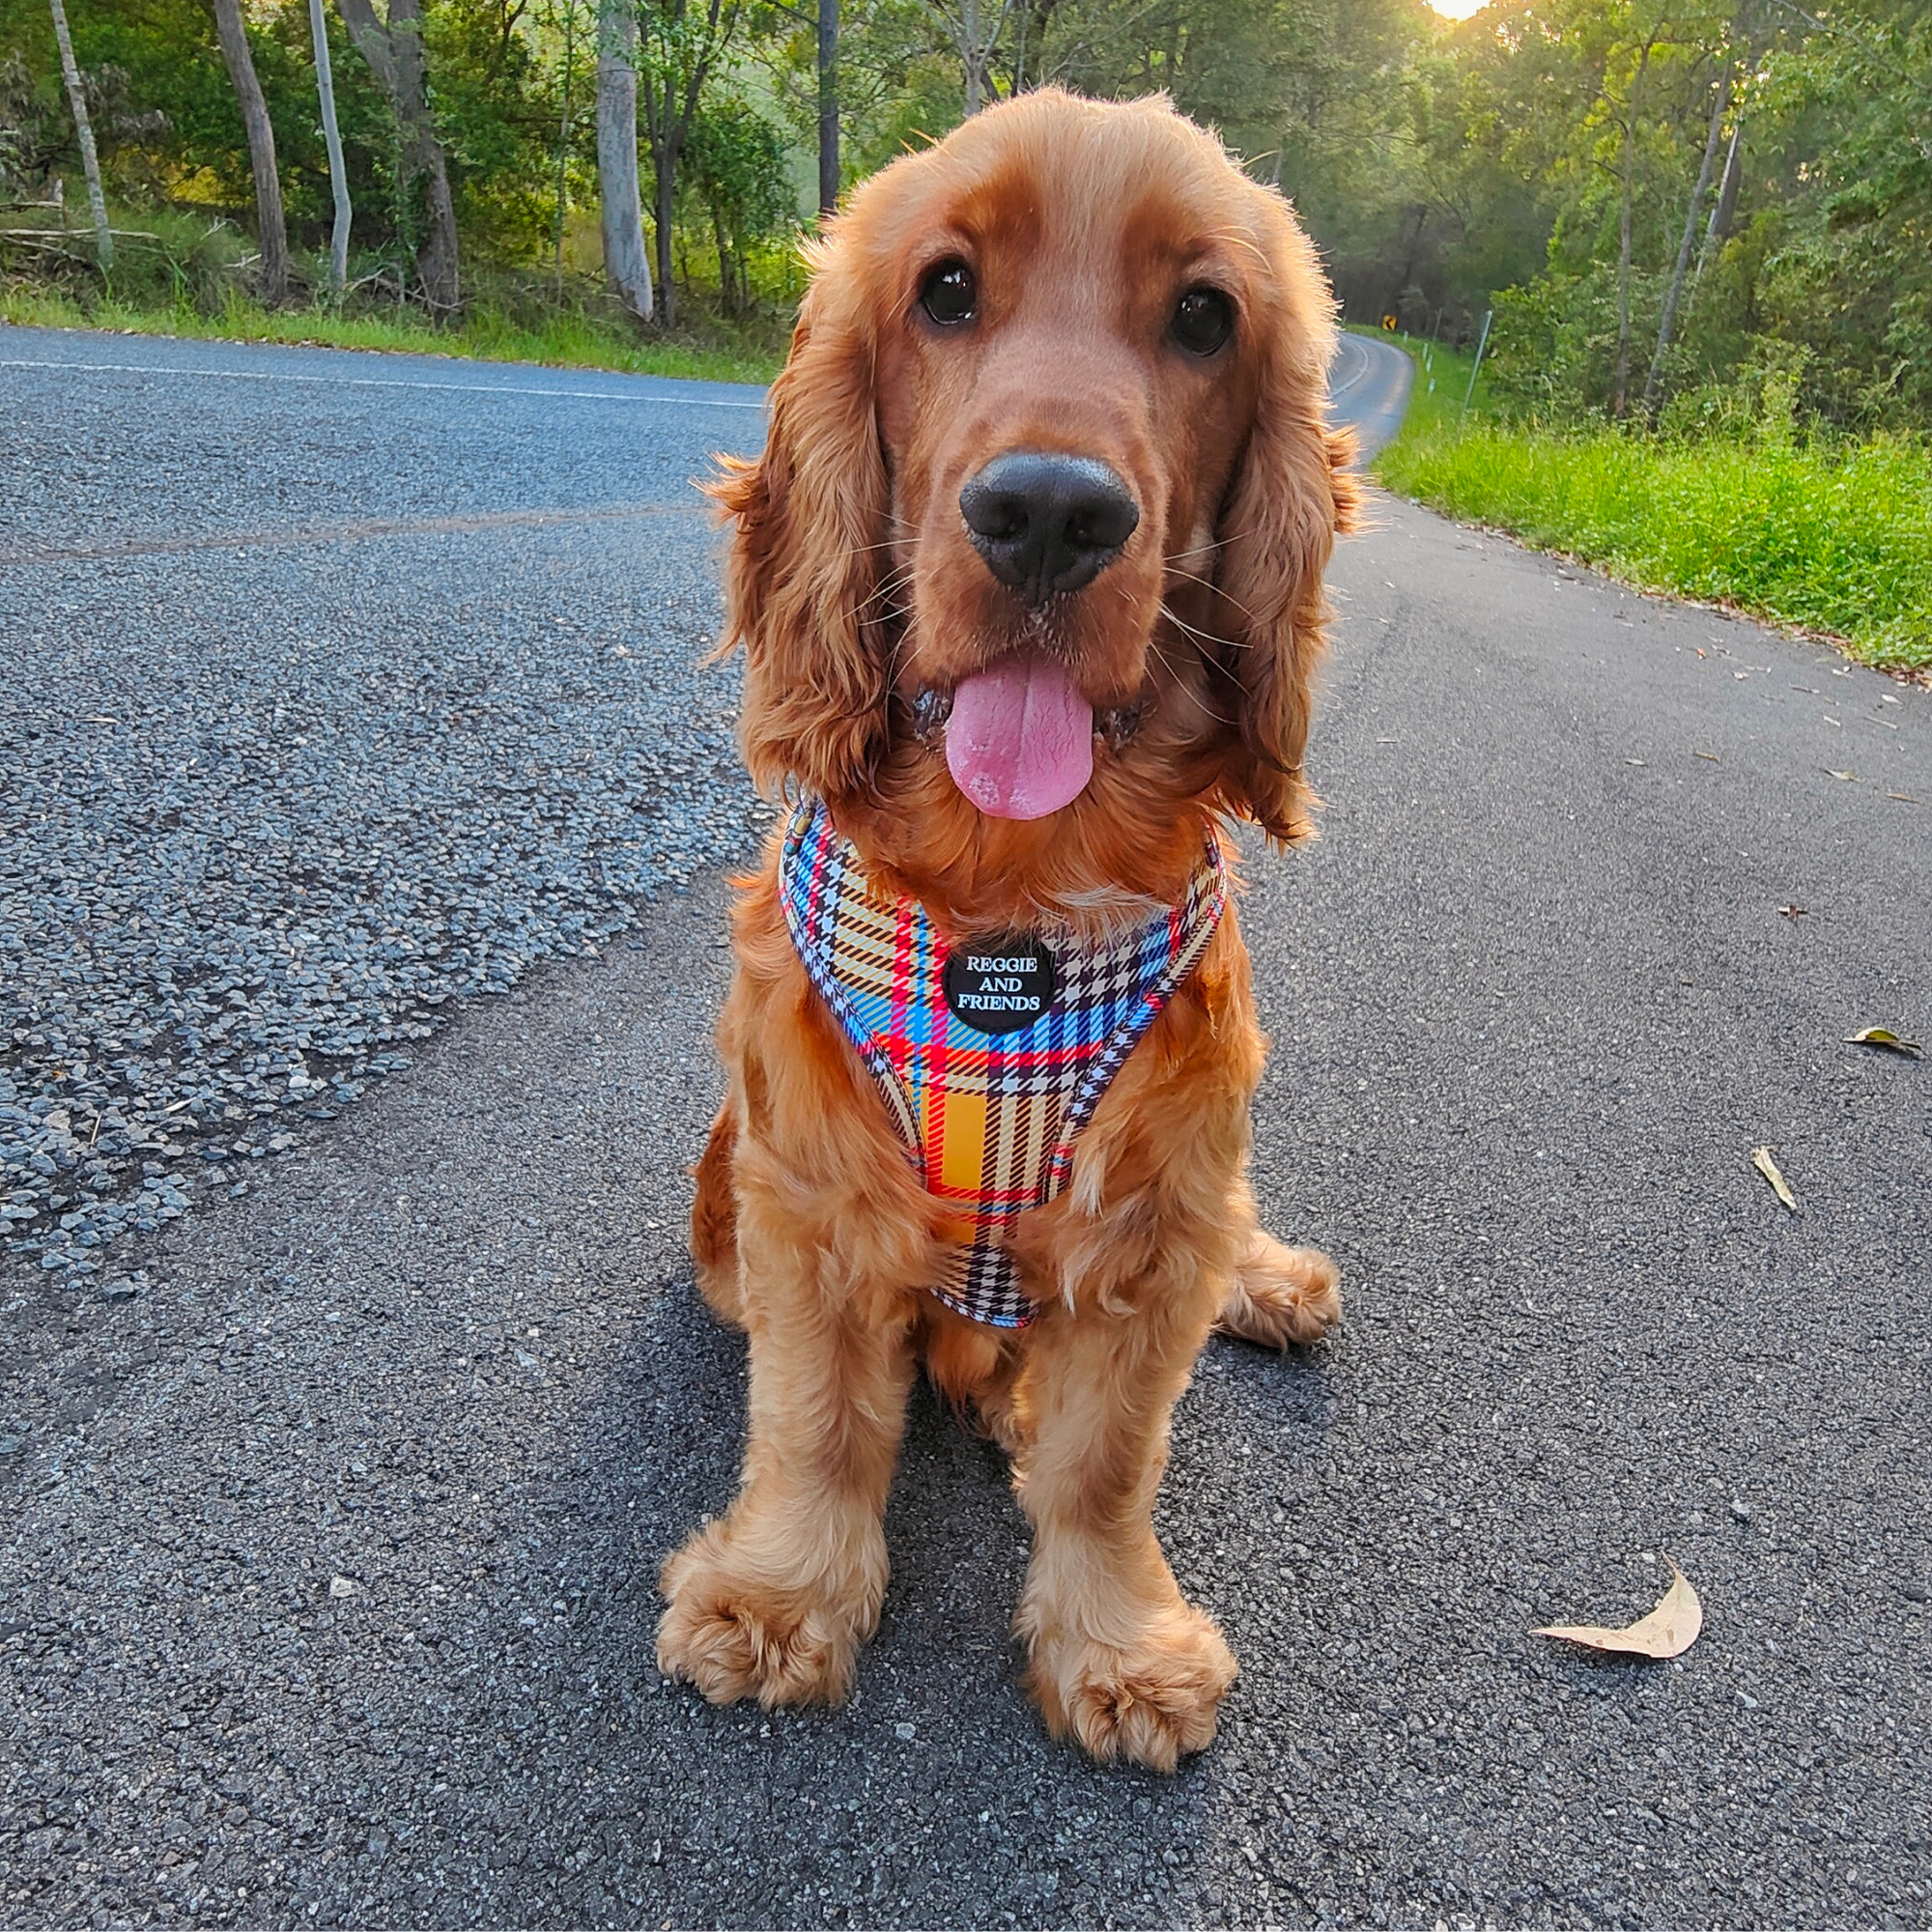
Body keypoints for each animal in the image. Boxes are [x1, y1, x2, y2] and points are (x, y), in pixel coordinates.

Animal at [665, 94, 1360, 1777]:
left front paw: (1118, 1646)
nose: (1049, 512)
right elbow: (816, 1420)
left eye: (1204, 316)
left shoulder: (1155, 1212)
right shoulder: (803, 1195)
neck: (1020, 897)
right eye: (945, 291)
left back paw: (1266, 1283)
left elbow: (1111, 1462)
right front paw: (778, 1601)